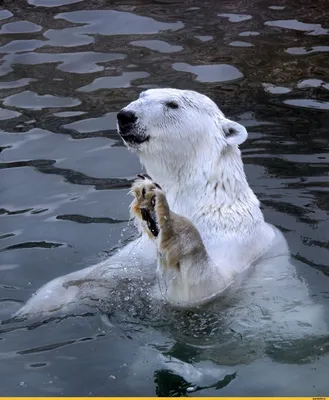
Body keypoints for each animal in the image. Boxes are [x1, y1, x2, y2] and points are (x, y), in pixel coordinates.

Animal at [14, 88, 326, 340]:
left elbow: (199, 288)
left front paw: (169, 222)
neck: (203, 202)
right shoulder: (138, 253)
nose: (125, 116)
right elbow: (98, 276)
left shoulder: (237, 246)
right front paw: (37, 305)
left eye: (172, 104)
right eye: (142, 95)